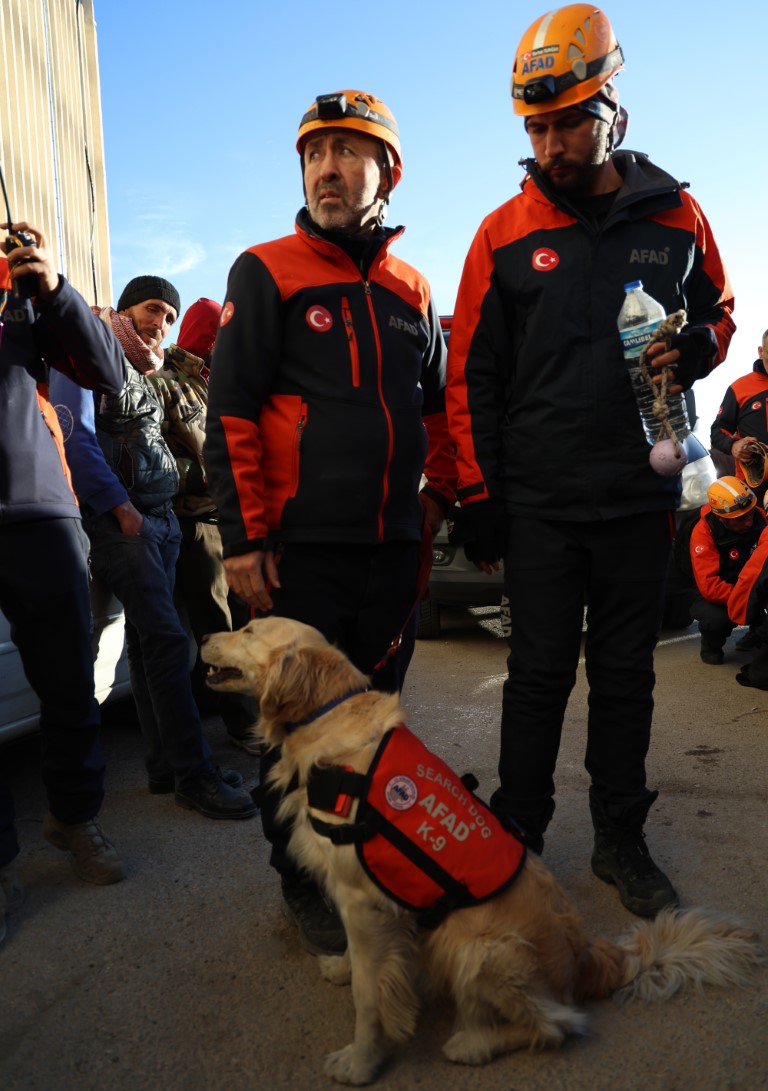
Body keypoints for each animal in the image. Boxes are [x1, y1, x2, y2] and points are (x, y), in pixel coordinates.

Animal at [200, 619, 763, 1086]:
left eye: (248, 628)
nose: (202, 634)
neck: (330, 717)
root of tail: (591, 959)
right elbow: (364, 970)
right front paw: (343, 967)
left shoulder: (363, 900)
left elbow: (369, 999)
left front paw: (361, 1062)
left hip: (476, 948)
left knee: (558, 1023)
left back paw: (473, 1043)